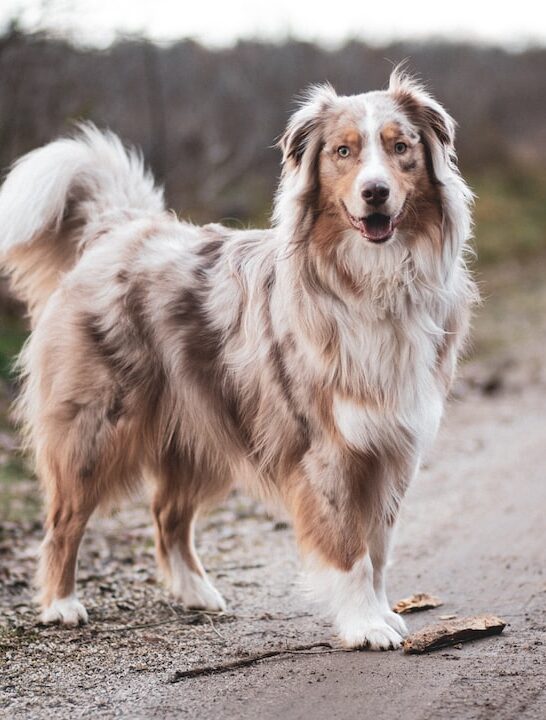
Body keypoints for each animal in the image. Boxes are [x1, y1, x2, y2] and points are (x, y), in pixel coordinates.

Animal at [0, 70, 472, 648]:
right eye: (343, 151)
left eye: (399, 147)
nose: (375, 192)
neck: (373, 279)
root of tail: (119, 228)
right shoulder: (329, 450)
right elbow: (349, 548)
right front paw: (365, 625)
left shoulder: (391, 447)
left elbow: (378, 549)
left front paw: (381, 612)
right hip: (96, 426)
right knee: (64, 520)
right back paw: (62, 603)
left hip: (204, 426)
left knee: (167, 514)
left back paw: (196, 593)